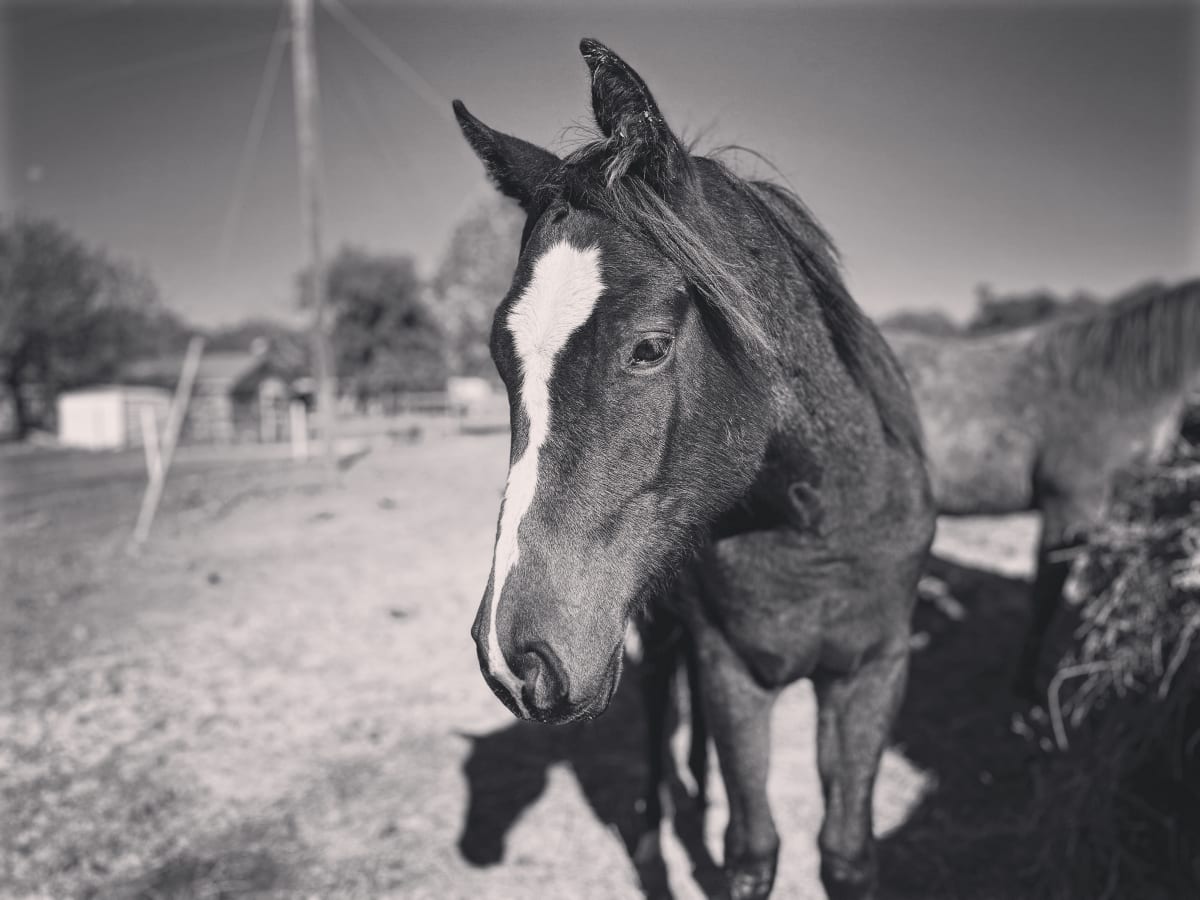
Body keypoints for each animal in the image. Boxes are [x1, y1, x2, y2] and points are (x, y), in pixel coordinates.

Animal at [453, 37, 931, 900]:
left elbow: (845, 850)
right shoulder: (729, 669)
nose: (516, 658)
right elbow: (753, 849)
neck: (817, 525)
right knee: (655, 712)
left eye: (648, 347)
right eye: (502, 358)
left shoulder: (874, 672)